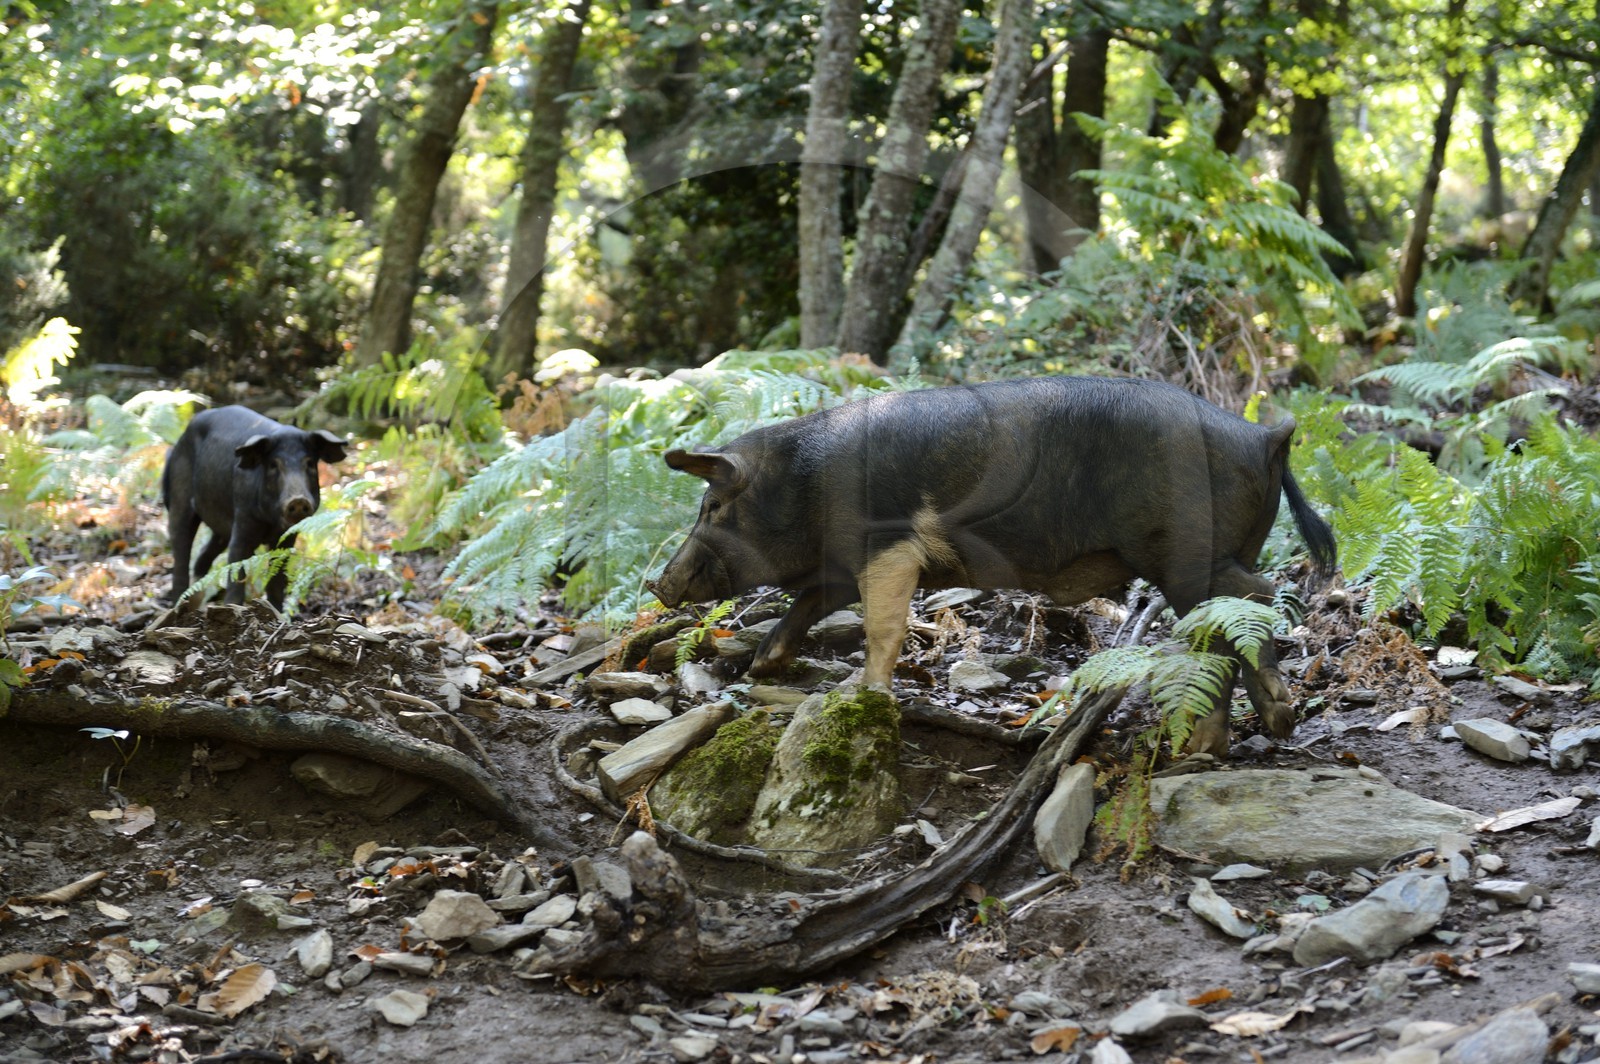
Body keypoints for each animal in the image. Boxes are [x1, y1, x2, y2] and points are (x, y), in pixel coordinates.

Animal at [162, 405, 347, 610]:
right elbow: (236, 571)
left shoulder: (286, 538)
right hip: (180, 499)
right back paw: (177, 607)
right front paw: (234, 607)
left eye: (310, 463)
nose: (298, 500)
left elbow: (276, 582)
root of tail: (179, 441)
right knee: (181, 551)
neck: (270, 521)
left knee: (202, 556)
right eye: (274, 464)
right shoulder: (243, 519)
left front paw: (276, 611)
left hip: (220, 529)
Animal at [648, 376, 1336, 755]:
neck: (802, 482)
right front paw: (765, 666)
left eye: (712, 505)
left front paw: (863, 696)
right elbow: (809, 602)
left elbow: (882, 627)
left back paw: (1212, 742)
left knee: (1248, 600)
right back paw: (1268, 725)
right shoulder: (843, 566)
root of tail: (1265, 439)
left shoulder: (889, 543)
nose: (659, 583)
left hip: (1188, 553)